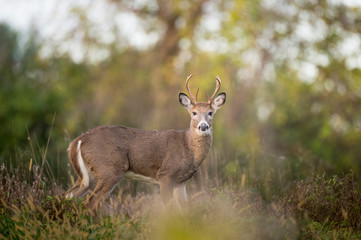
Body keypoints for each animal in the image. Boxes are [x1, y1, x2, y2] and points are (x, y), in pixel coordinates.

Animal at [64, 73, 225, 210]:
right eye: (194, 113)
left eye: (210, 113)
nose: (203, 126)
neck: (188, 148)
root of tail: (77, 141)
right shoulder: (165, 175)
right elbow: (168, 210)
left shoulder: (181, 181)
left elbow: (185, 210)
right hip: (109, 170)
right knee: (90, 204)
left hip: (87, 176)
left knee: (66, 196)